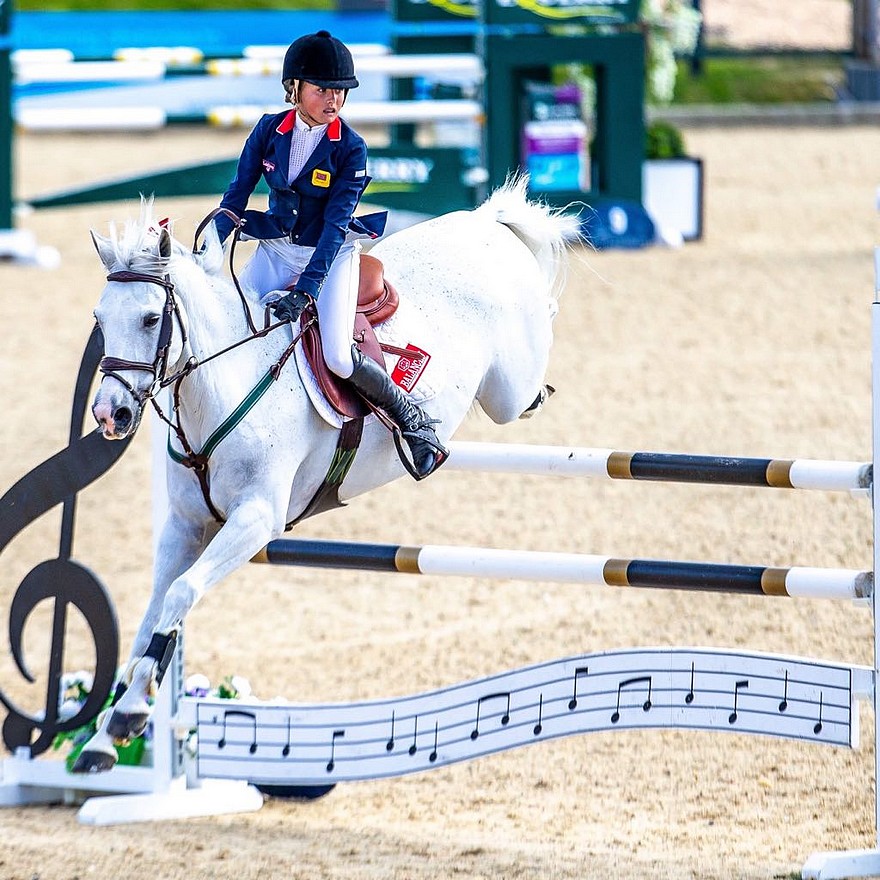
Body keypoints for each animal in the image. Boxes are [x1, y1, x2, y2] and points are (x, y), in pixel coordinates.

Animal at [75, 177, 580, 768]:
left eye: (151, 319)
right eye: (99, 319)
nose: (110, 414)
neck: (222, 383)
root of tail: (484, 222)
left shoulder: (256, 519)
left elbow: (178, 596)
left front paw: (127, 717)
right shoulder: (185, 526)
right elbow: (154, 617)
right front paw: (107, 735)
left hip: (508, 390)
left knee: (532, 369)